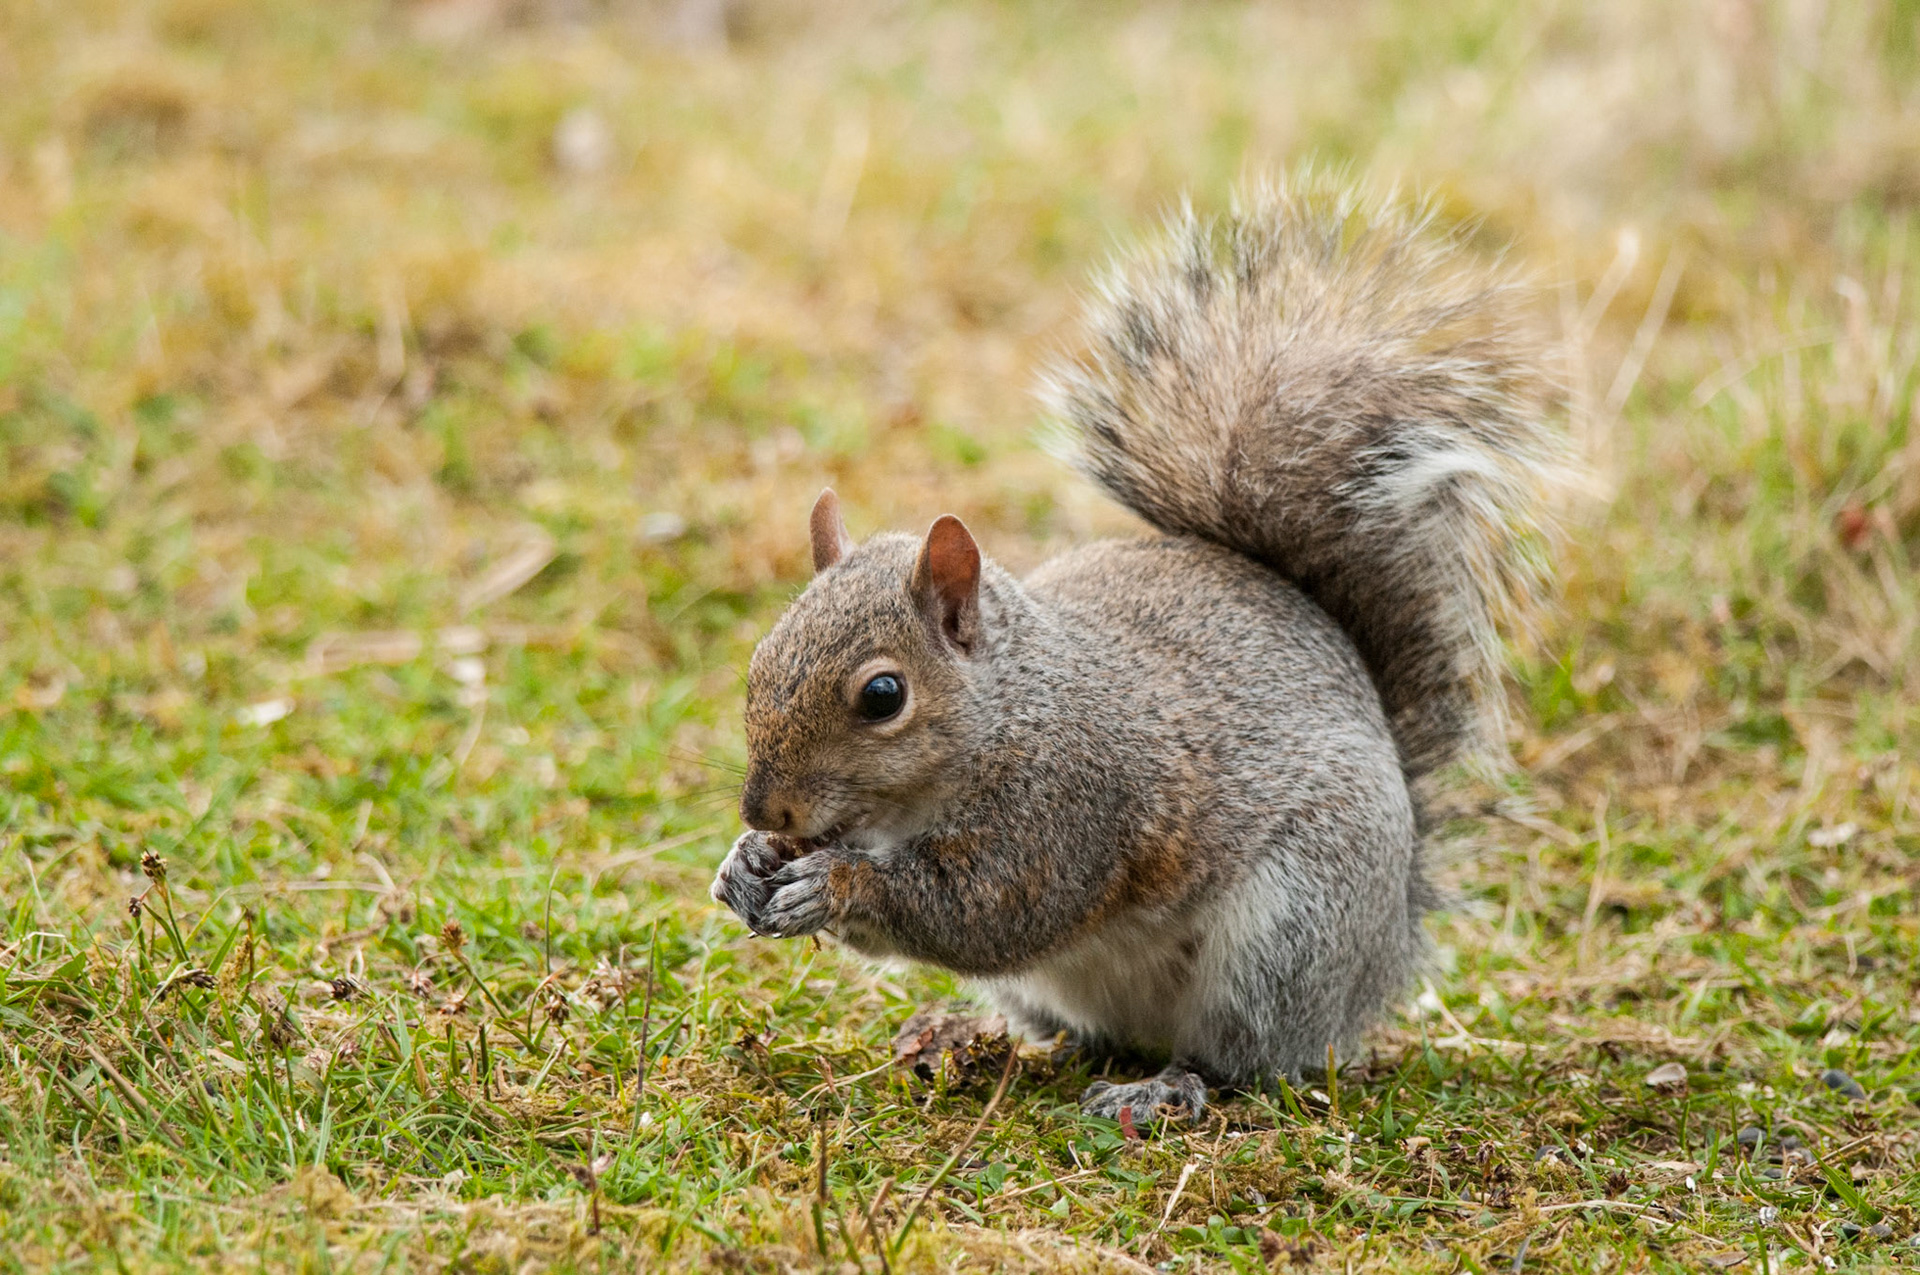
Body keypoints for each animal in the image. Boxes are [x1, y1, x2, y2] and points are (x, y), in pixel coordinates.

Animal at [710, 175, 1562, 1122]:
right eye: (760, 659)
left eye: (882, 695)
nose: (766, 810)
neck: (1010, 708)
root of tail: (1378, 961)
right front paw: (743, 865)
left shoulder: (1072, 807)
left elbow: (984, 911)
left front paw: (833, 884)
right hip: (1070, 985)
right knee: (1088, 1033)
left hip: (1290, 931)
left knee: (1247, 1058)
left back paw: (1166, 1087)